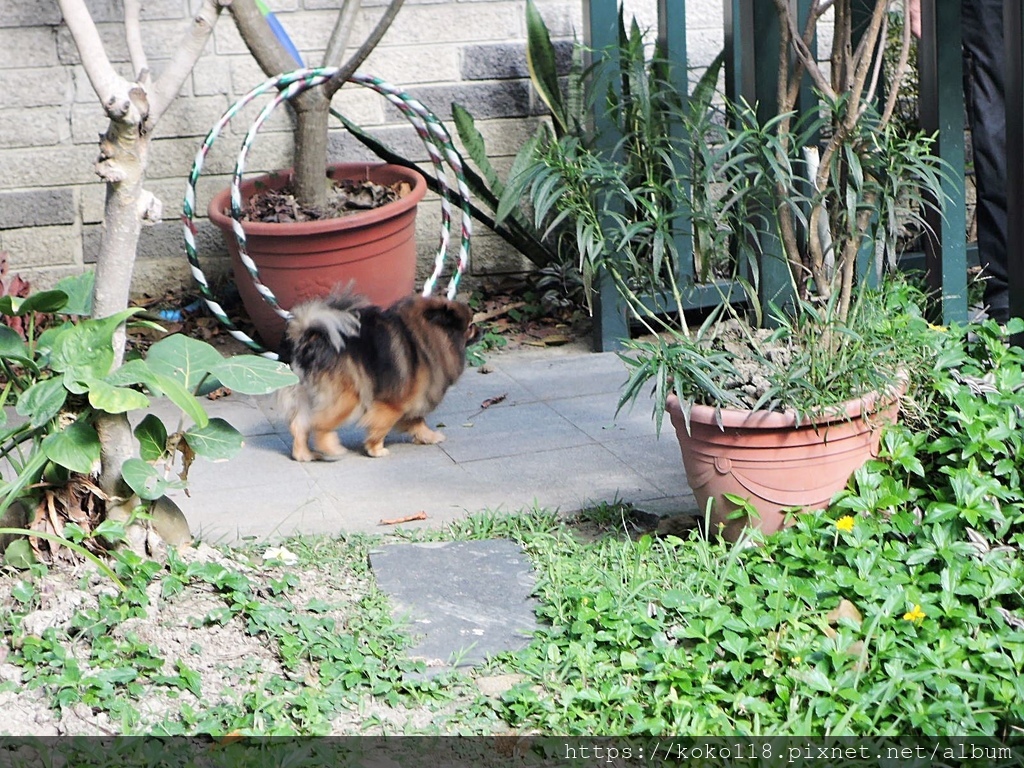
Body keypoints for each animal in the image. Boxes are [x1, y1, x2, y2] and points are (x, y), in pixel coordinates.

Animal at [276, 286, 475, 460]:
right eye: (470, 326)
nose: (480, 329)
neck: (427, 338)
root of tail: (310, 340)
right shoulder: (394, 403)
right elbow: (381, 427)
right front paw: (376, 450)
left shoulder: (411, 399)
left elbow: (418, 422)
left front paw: (430, 437)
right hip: (348, 397)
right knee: (319, 424)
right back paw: (331, 448)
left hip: (309, 396)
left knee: (300, 425)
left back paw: (304, 455)